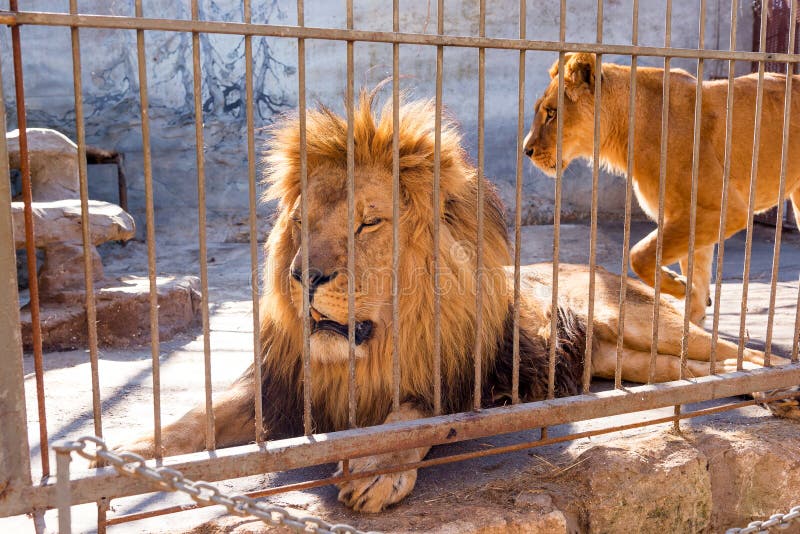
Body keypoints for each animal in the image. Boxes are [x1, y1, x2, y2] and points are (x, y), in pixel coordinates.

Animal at [115, 92, 792, 516]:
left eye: (368, 223)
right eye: (302, 221)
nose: (303, 275)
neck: (371, 348)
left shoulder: (453, 382)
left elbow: (408, 419)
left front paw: (372, 469)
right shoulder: (279, 386)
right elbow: (191, 424)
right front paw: (123, 463)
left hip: (640, 321)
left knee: (737, 350)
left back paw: (782, 387)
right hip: (630, 361)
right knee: (704, 372)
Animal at [524, 53, 800, 326]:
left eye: (552, 113)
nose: (527, 150)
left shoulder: (724, 209)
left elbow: (639, 255)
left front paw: (679, 286)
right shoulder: (690, 215)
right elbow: (696, 270)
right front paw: (692, 308)